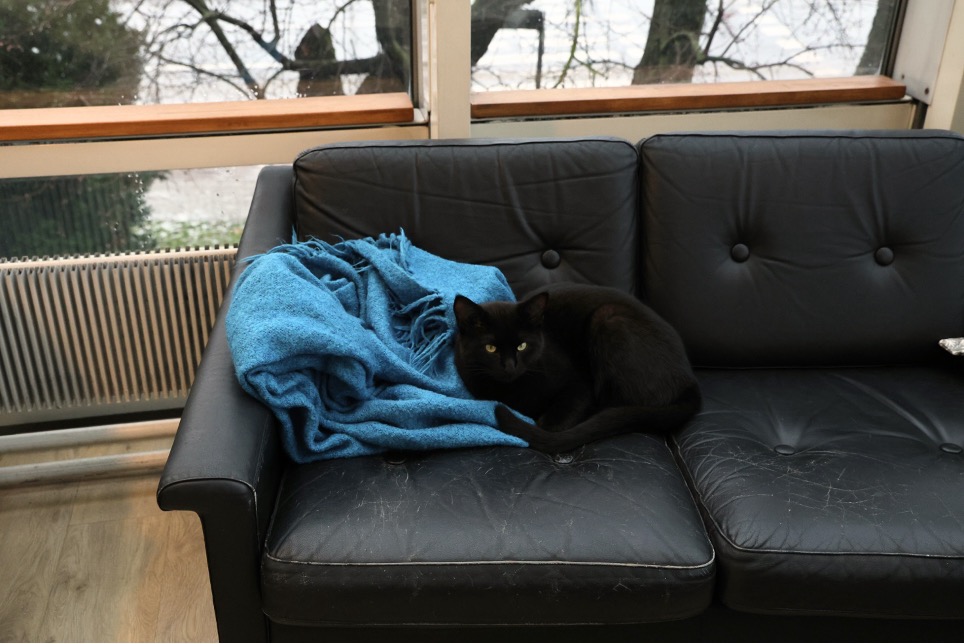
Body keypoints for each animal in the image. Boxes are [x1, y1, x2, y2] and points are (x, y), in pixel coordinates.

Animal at [453, 283, 700, 453]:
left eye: (522, 345)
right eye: (491, 348)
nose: (510, 366)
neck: (513, 390)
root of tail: (690, 380)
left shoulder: (579, 385)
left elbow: (549, 427)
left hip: (608, 318)